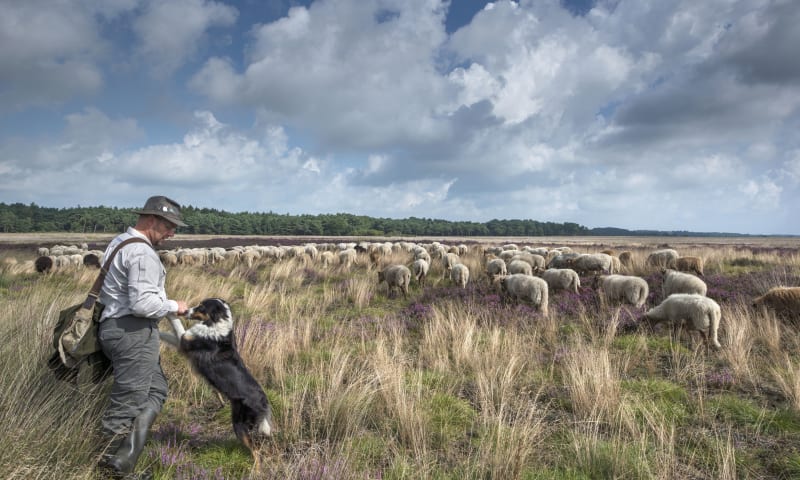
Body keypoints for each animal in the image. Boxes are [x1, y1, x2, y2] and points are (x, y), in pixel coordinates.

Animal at [162, 298, 272, 470]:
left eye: (201, 307)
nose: (185, 311)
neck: (215, 323)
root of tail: (264, 401)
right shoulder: (183, 343)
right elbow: (168, 333)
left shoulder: (185, 341)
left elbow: (176, 324)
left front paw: (169, 312)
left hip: (239, 425)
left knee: (256, 451)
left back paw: (255, 471)